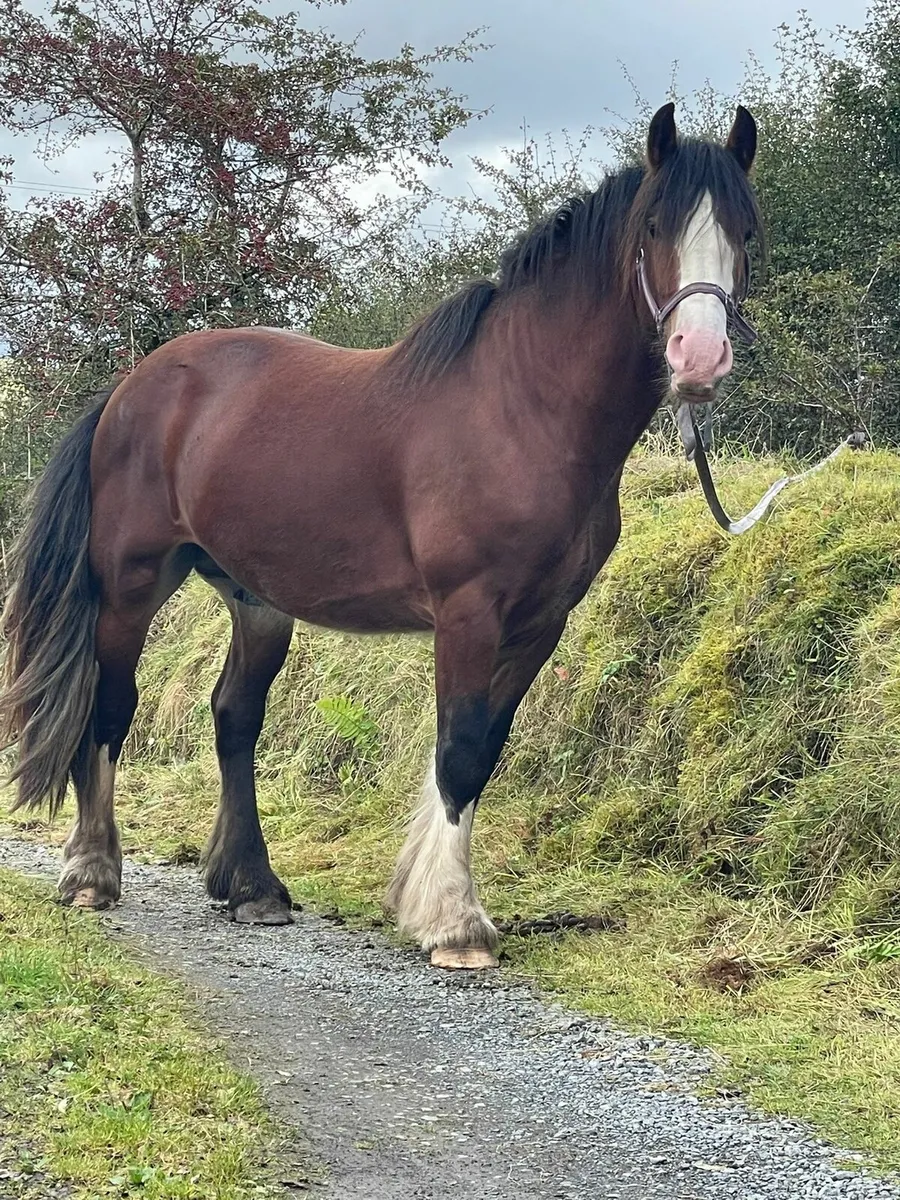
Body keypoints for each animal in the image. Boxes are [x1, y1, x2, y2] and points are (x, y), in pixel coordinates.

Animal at [0, 103, 762, 969]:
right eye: (656, 228)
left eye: (745, 231)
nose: (699, 357)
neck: (522, 410)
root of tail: (133, 388)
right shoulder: (468, 612)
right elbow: (458, 747)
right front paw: (455, 923)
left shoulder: (541, 623)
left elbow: (485, 748)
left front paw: (430, 901)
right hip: (132, 583)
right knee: (111, 706)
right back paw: (93, 872)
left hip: (255, 598)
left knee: (234, 718)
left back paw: (251, 887)